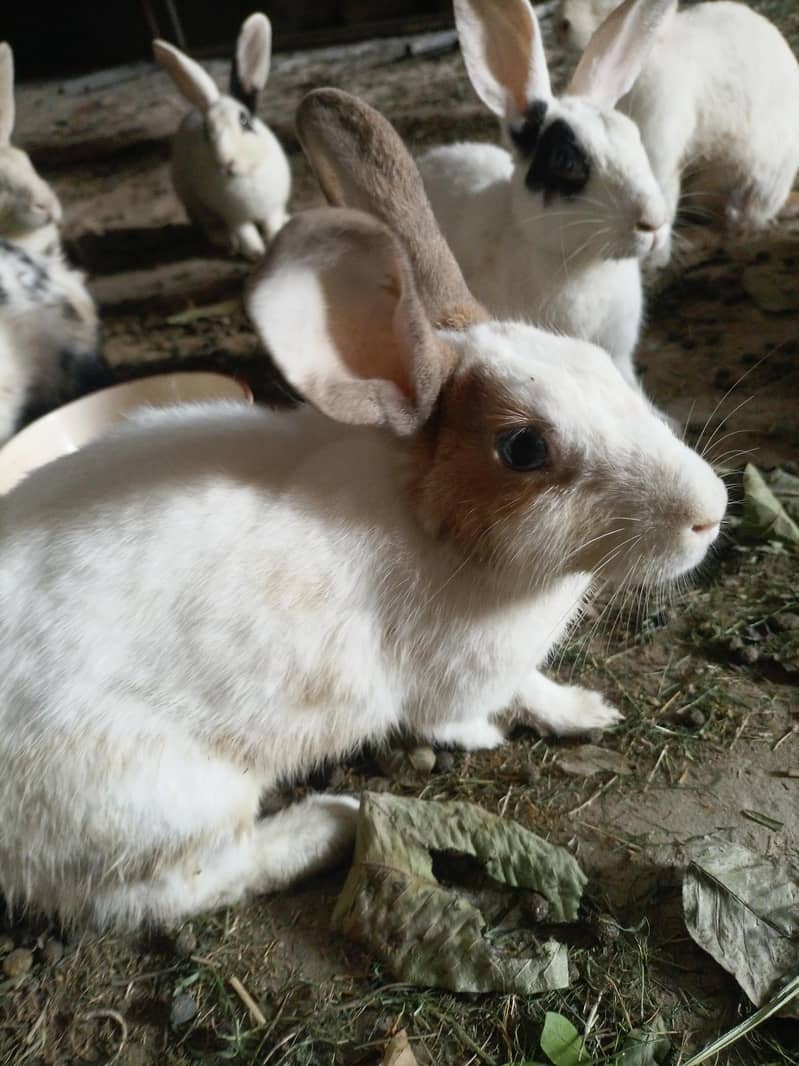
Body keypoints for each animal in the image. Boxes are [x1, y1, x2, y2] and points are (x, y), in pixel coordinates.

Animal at [153, 13, 291, 261]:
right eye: (207, 132)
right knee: (209, 225)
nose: (226, 163)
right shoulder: (235, 217)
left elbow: (273, 225)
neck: (245, 176)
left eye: (244, 121)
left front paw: (277, 237)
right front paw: (256, 254)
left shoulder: (273, 208)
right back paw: (226, 242)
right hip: (193, 200)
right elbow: (246, 233)